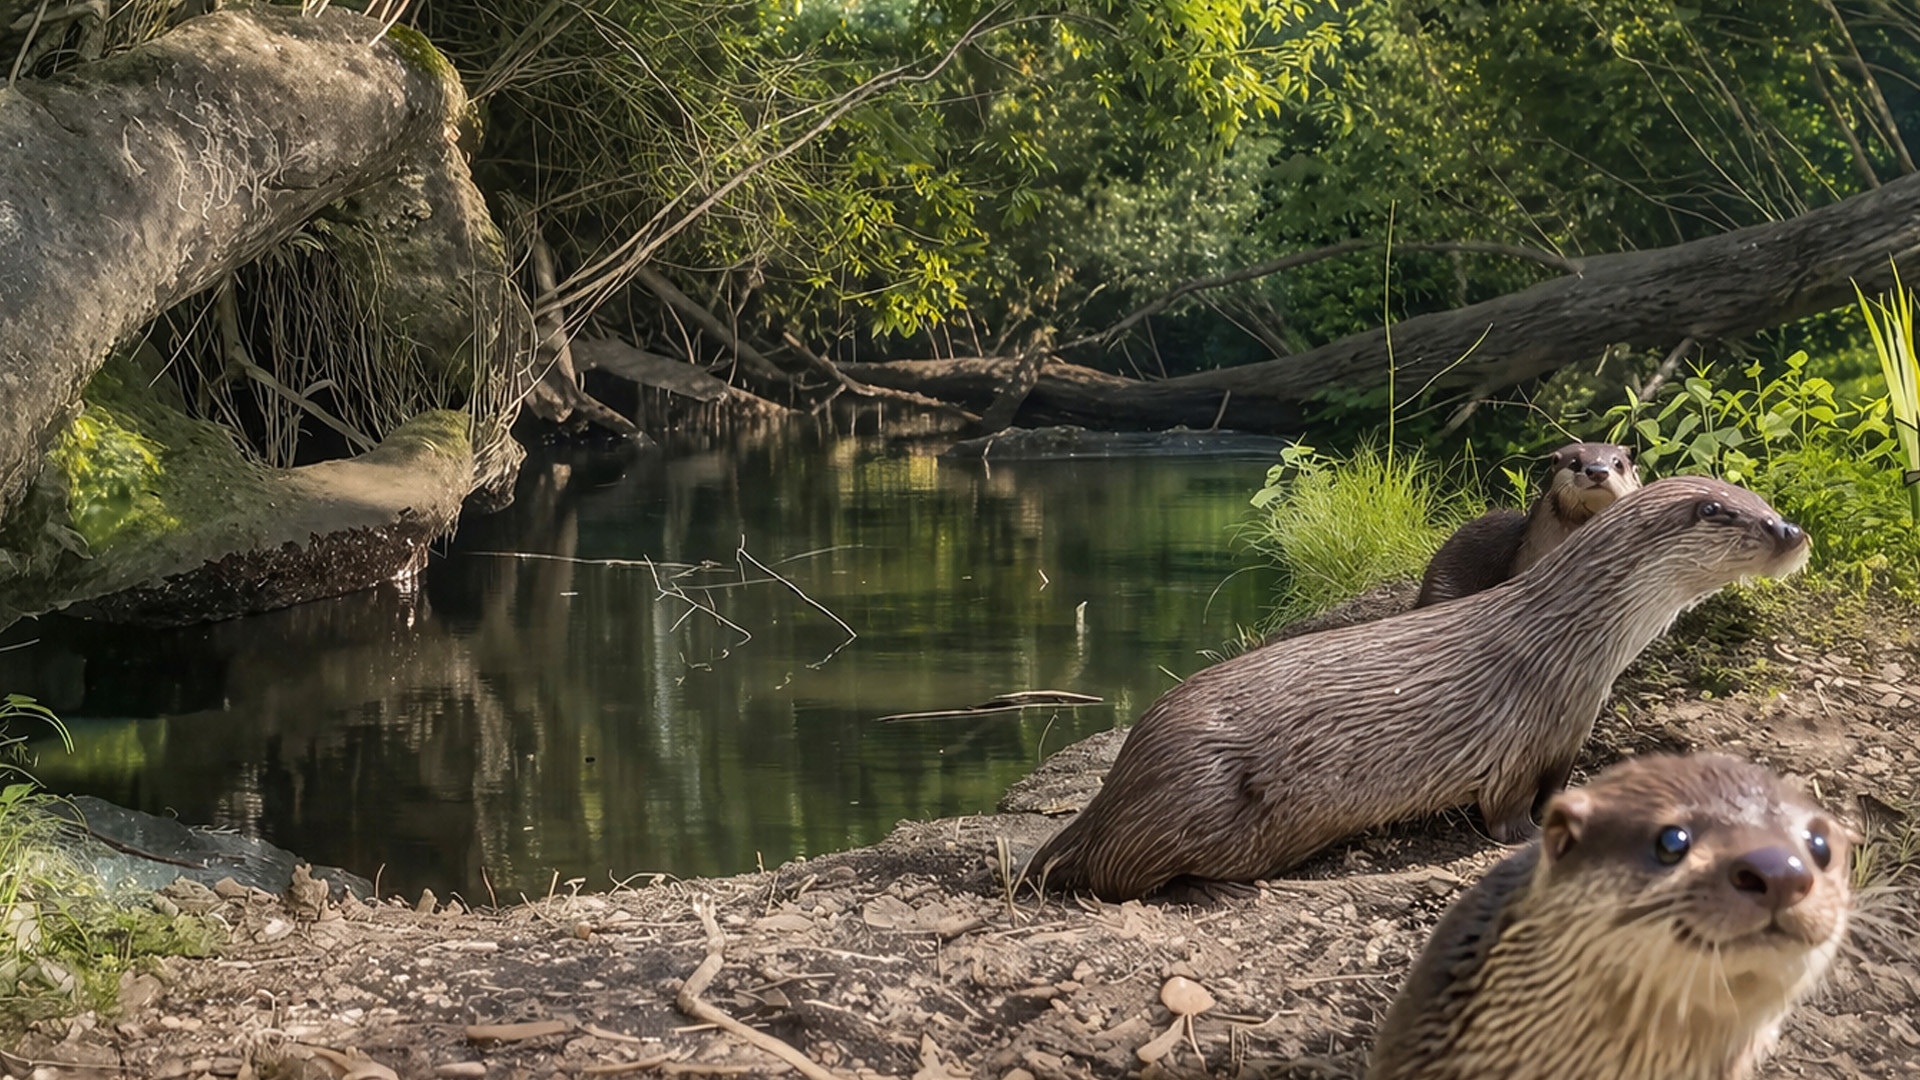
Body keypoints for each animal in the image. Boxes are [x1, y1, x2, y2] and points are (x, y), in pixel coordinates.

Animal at [1027, 477, 1808, 900]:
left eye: (1764, 500)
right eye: (1724, 512)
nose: (1792, 531)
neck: (1567, 649)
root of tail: (1117, 783)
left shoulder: (1566, 736)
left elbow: (1564, 787)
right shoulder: (1512, 745)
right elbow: (1506, 815)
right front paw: (1526, 839)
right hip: (1191, 793)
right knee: (1113, 875)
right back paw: (1215, 888)